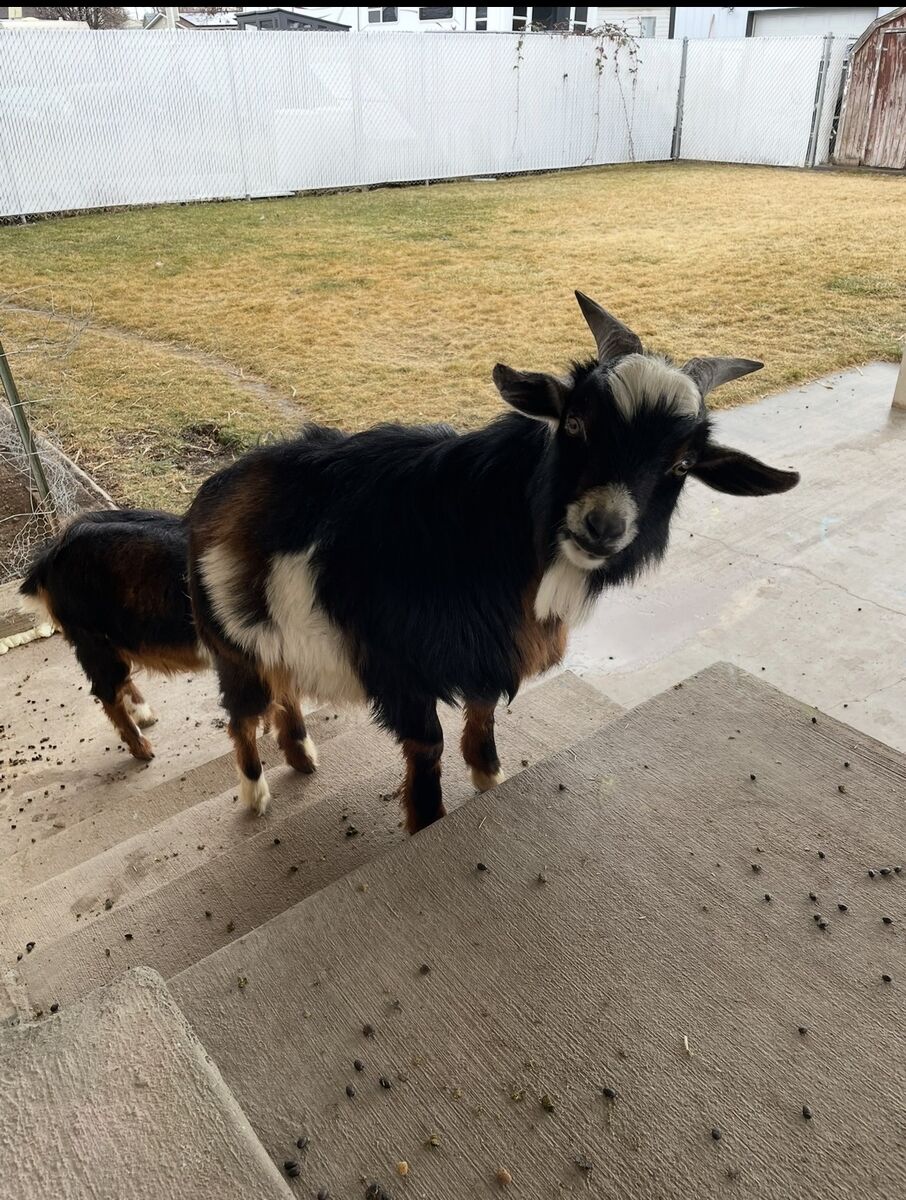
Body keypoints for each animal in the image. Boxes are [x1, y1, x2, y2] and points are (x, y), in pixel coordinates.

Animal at [187, 293, 799, 830]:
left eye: (683, 462)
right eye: (575, 422)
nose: (602, 527)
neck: (490, 530)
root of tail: (212, 493)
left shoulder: (489, 649)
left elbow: (481, 716)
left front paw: (490, 780)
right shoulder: (401, 668)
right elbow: (428, 747)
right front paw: (428, 822)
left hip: (275, 635)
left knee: (284, 688)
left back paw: (302, 755)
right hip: (232, 648)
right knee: (242, 716)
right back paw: (255, 793)